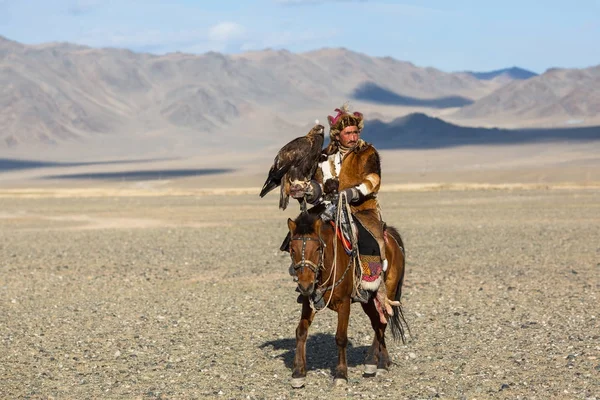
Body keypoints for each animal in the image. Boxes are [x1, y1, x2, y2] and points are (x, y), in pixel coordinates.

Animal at [286, 209, 408, 388]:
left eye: (318, 248)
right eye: (292, 249)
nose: (305, 285)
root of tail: (390, 236)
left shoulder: (344, 303)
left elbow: (341, 337)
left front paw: (341, 374)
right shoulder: (309, 303)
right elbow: (301, 332)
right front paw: (298, 373)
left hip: (389, 290)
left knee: (382, 322)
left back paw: (377, 363)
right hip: (368, 299)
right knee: (377, 323)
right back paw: (377, 362)